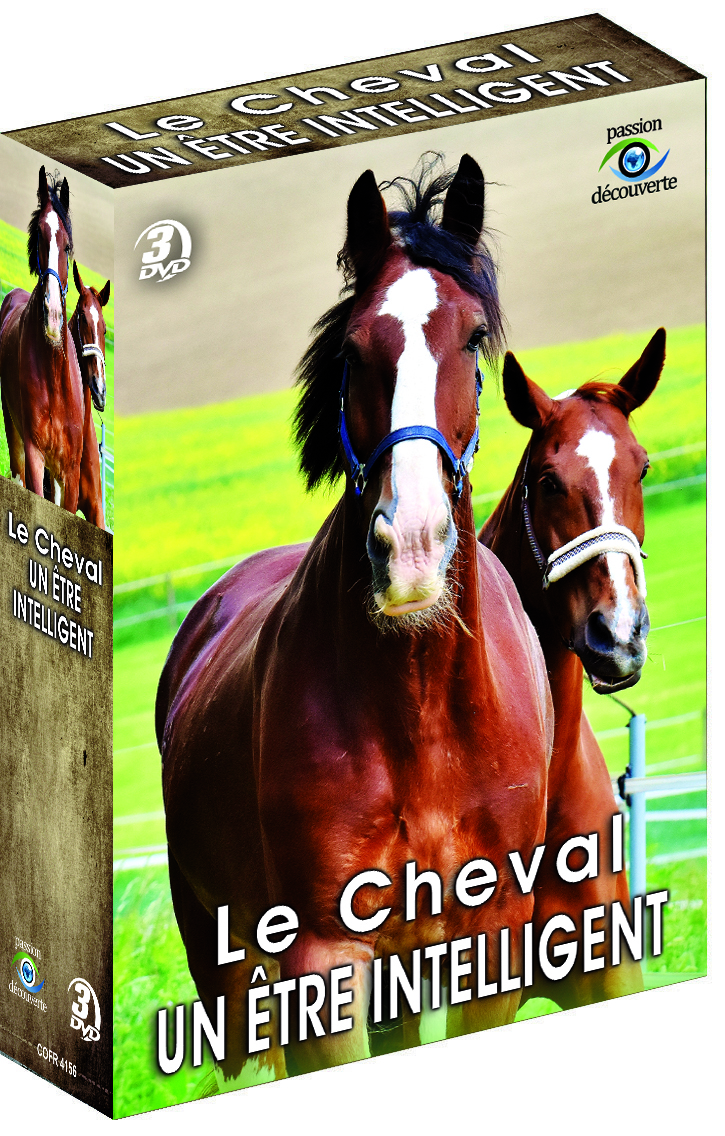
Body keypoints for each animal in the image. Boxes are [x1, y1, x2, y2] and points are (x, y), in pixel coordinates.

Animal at [156, 155, 554, 1088]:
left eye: (471, 338)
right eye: (354, 348)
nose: (408, 546)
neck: (421, 714)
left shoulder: (490, 941)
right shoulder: (322, 953)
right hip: (219, 956)